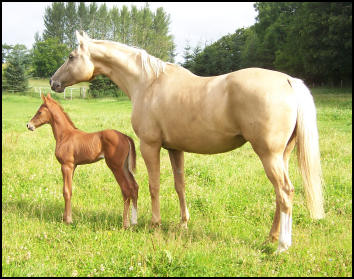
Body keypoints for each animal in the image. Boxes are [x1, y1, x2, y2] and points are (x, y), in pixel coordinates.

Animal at [26, 94, 139, 230]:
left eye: (39, 112)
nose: (28, 125)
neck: (65, 135)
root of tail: (126, 137)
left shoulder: (66, 166)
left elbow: (66, 191)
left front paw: (68, 220)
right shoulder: (73, 166)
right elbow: (68, 189)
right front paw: (64, 218)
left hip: (116, 167)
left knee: (126, 190)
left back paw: (125, 224)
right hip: (125, 167)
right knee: (134, 187)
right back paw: (134, 221)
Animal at [49, 31, 324, 254]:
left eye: (71, 56)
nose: (53, 82)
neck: (148, 83)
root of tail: (288, 81)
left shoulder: (150, 145)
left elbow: (154, 185)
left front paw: (155, 223)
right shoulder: (175, 148)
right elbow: (179, 185)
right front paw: (183, 223)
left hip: (269, 155)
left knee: (285, 192)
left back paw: (281, 246)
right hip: (282, 155)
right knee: (279, 195)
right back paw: (271, 238)